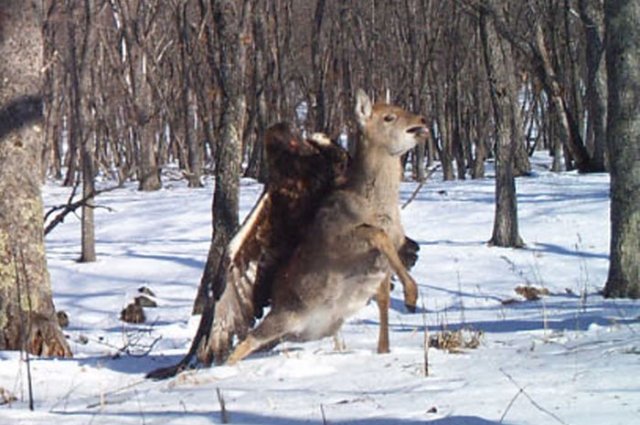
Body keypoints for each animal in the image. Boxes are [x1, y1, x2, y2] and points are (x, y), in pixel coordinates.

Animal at [226, 89, 428, 364]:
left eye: (400, 107)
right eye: (388, 117)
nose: (423, 120)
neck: (378, 206)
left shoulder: (389, 255)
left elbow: (384, 298)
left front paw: (385, 348)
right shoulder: (339, 241)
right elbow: (376, 234)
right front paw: (411, 297)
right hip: (283, 317)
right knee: (245, 342)